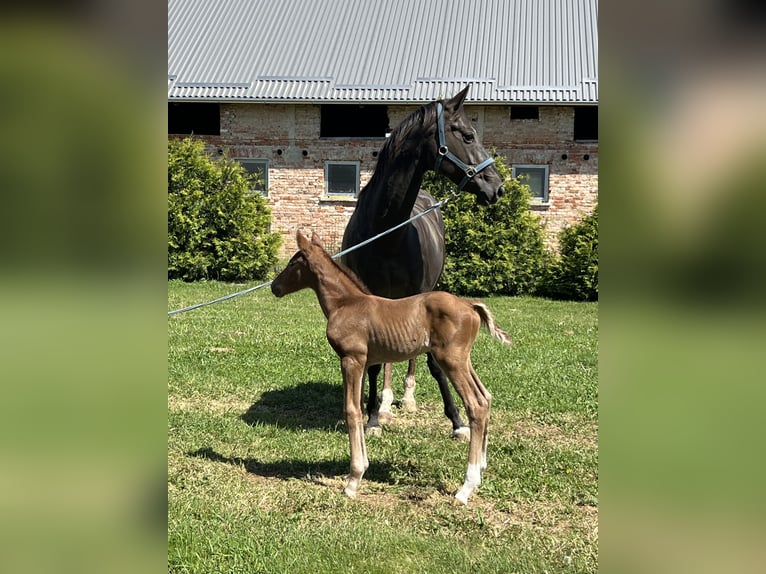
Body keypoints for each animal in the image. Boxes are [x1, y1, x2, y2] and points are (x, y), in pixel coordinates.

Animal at [272, 232, 512, 506]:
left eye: (293, 263)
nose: (274, 287)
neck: (346, 304)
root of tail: (470, 306)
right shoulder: (362, 362)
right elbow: (360, 408)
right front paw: (362, 467)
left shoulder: (351, 359)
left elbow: (351, 411)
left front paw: (353, 480)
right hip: (463, 359)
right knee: (486, 396)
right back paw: (481, 467)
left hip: (451, 360)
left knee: (476, 404)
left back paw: (465, 488)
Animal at [342, 85, 504, 436]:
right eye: (468, 136)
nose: (497, 187)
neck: (387, 234)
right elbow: (375, 365)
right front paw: (372, 418)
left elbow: (433, 361)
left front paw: (457, 421)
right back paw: (385, 402)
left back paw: (406, 397)